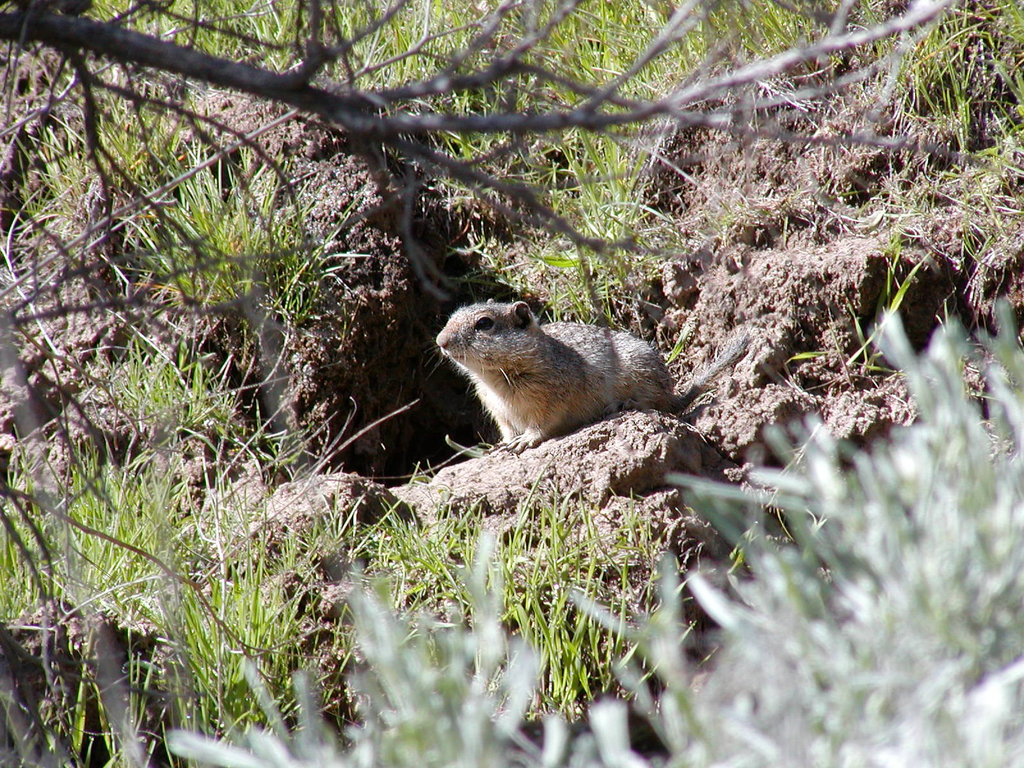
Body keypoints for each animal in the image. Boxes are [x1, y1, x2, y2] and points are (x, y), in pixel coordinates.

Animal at [437, 299, 748, 451]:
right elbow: (507, 431)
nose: (440, 341)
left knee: (659, 403)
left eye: (484, 323)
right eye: (453, 315)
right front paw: (502, 445)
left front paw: (525, 441)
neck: (495, 378)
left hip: (643, 373)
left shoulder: (550, 400)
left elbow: (541, 425)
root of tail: (677, 394)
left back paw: (625, 404)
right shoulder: (499, 413)